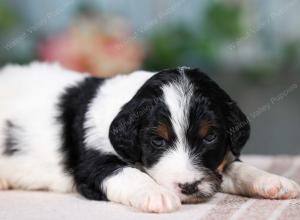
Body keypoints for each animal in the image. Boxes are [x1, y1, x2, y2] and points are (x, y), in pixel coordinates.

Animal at [0, 62, 298, 213]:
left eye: (210, 137)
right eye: (157, 141)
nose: (188, 187)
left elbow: (236, 168)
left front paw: (274, 182)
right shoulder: (91, 167)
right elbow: (127, 172)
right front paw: (156, 194)